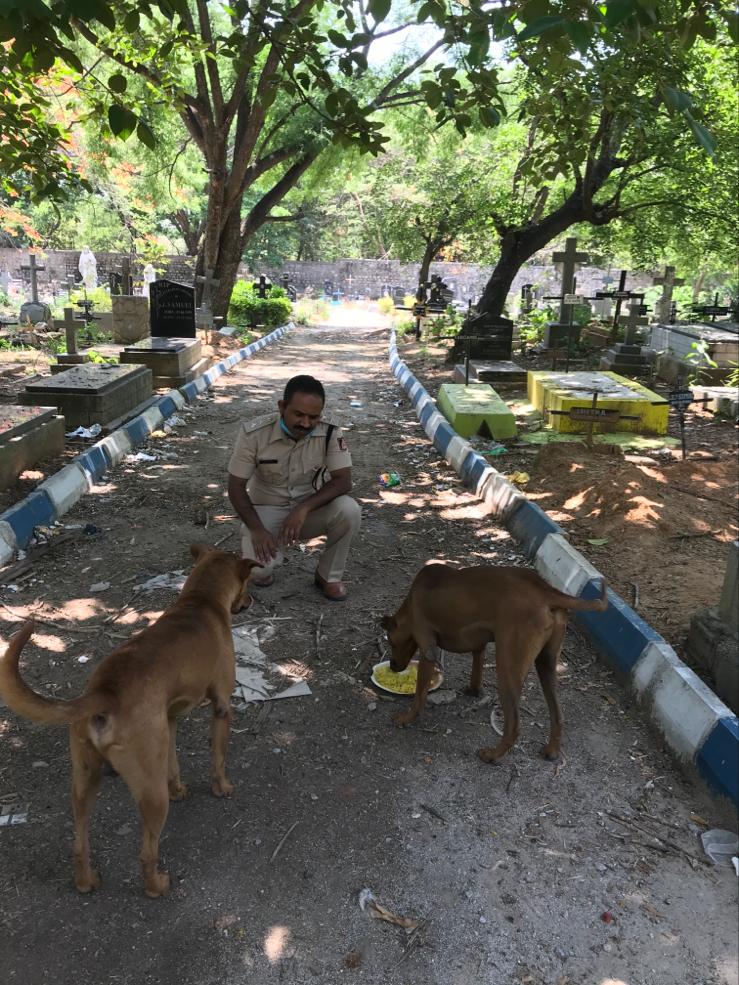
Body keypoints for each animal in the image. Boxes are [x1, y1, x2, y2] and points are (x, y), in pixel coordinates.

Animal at [0, 540, 260, 896]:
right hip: (150, 794)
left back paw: (86, 881)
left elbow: (173, 765)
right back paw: (156, 885)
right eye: (247, 585)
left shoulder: (169, 722)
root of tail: (104, 693)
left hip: (85, 780)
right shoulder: (221, 707)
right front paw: (222, 787)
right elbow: (218, 759)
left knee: (79, 844)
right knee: (146, 853)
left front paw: (179, 788)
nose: (250, 601)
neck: (200, 600)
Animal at [382, 560, 608, 760]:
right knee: (558, 715)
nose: (392, 666)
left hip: (508, 666)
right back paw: (551, 751)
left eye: (390, 641)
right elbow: (477, 669)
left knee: (514, 725)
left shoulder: (427, 647)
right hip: (547, 664)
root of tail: (547, 591)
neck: (411, 602)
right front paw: (474, 691)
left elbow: (420, 693)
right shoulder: (479, 645)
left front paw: (407, 718)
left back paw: (493, 755)